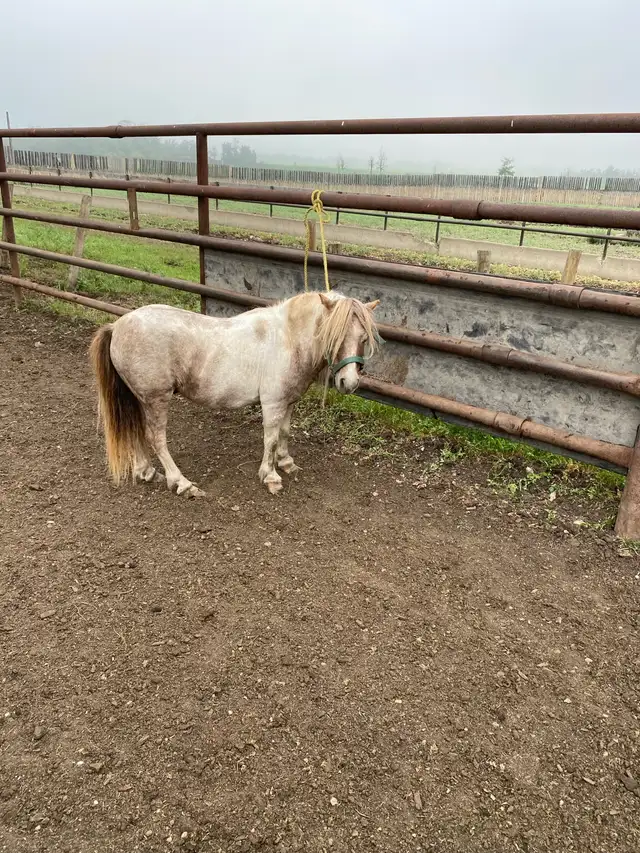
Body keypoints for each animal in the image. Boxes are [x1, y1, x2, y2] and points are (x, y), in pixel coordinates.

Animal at [89, 290, 380, 497]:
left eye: (364, 338)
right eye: (335, 336)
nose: (349, 382)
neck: (287, 339)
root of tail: (117, 326)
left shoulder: (288, 401)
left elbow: (284, 433)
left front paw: (286, 462)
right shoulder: (273, 403)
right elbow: (270, 439)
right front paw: (270, 476)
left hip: (140, 398)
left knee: (137, 431)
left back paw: (147, 472)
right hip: (156, 398)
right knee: (156, 438)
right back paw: (182, 483)